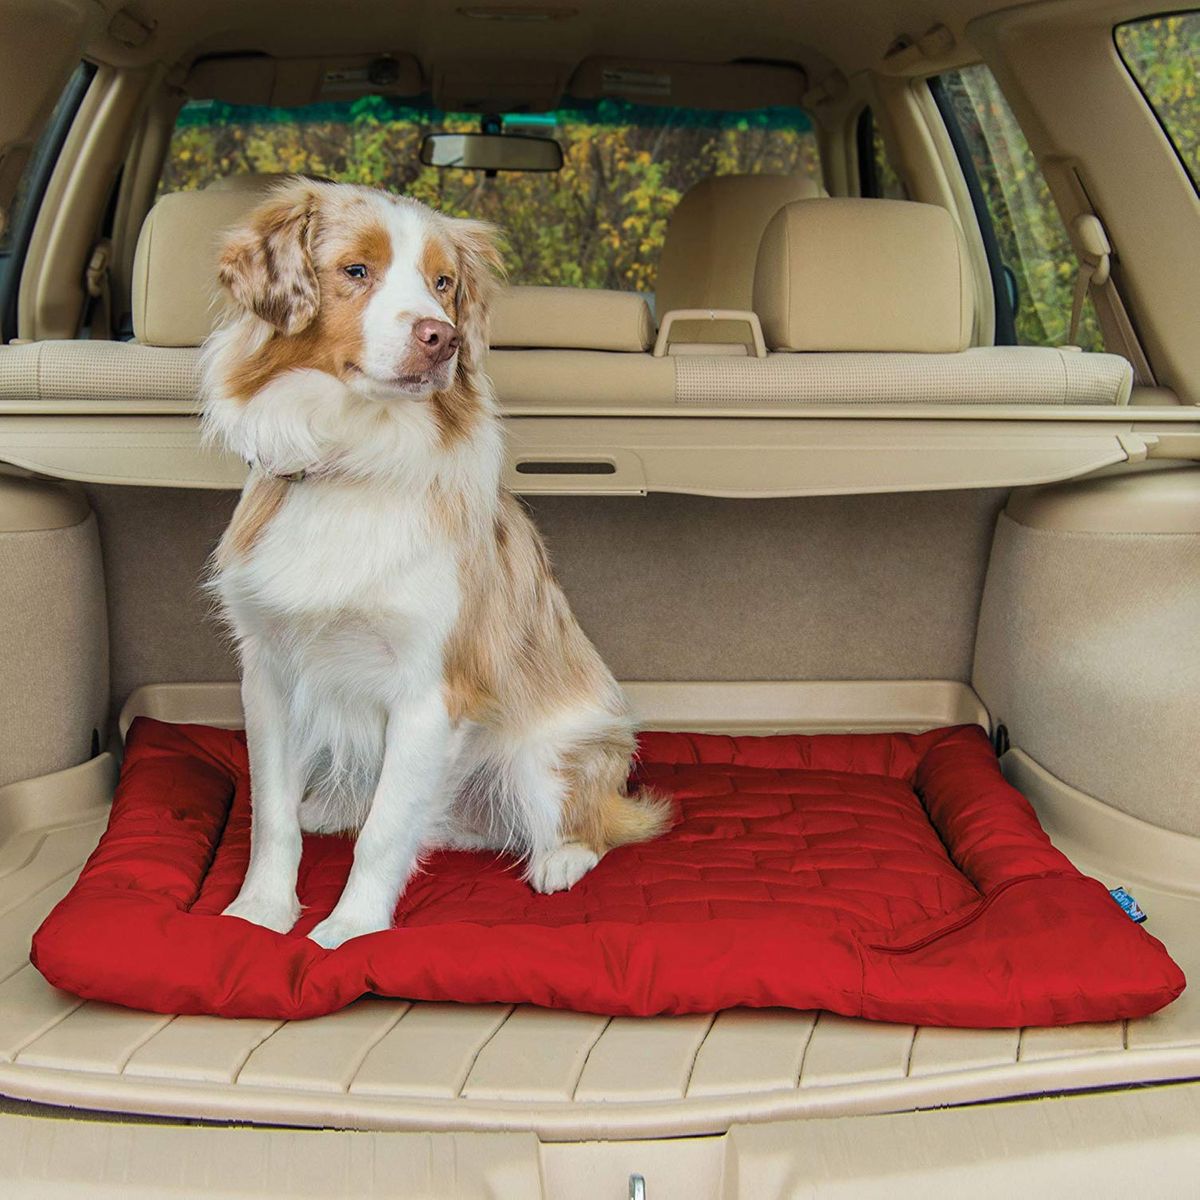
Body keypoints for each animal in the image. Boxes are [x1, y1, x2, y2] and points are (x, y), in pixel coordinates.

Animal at [202, 177, 672, 945]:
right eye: (356, 270)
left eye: (443, 283)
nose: (441, 338)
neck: (351, 464)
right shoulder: (269, 673)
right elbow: (271, 814)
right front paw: (259, 912)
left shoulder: (430, 689)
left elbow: (385, 832)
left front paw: (348, 931)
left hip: (550, 753)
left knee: (586, 825)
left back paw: (558, 862)